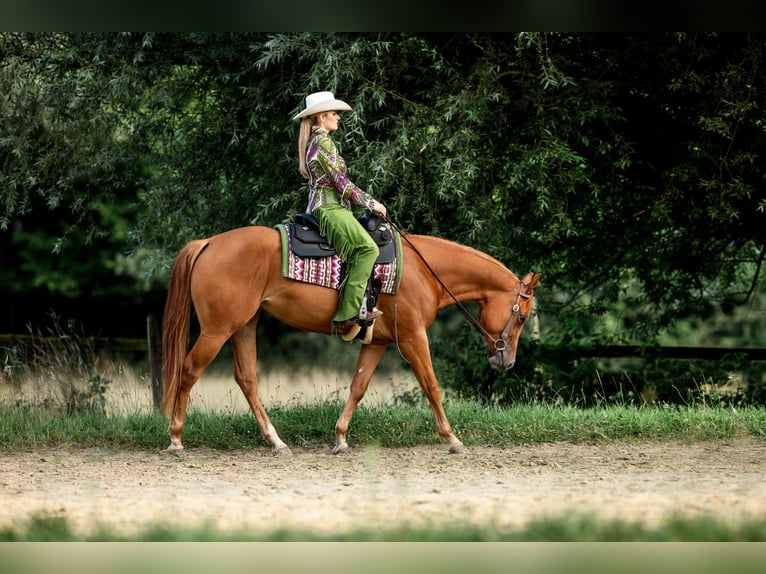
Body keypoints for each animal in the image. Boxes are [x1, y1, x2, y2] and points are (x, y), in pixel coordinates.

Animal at [162, 224, 544, 454]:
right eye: (522, 317)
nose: (506, 361)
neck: (424, 271)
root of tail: (208, 243)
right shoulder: (412, 336)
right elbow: (431, 385)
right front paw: (453, 439)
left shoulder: (376, 343)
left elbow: (358, 387)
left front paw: (341, 437)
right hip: (218, 330)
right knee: (189, 370)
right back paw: (176, 438)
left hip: (244, 326)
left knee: (247, 379)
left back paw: (276, 441)